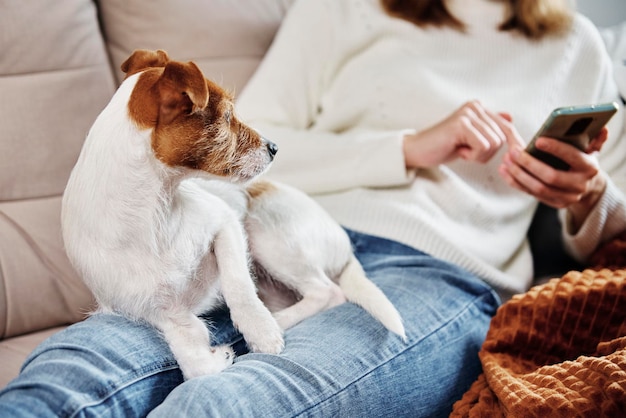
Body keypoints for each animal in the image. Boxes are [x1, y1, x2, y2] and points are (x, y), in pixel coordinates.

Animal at [61, 49, 282, 378]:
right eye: (228, 116)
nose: (275, 147)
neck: (159, 213)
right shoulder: (163, 313)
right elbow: (194, 362)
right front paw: (220, 356)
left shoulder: (223, 223)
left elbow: (238, 284)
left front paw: (261, 331)